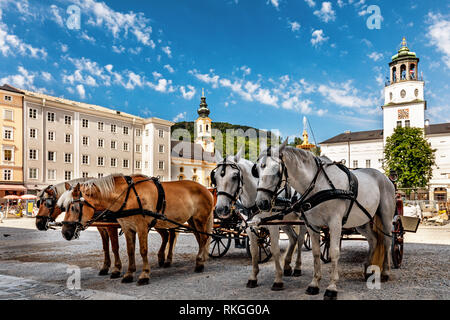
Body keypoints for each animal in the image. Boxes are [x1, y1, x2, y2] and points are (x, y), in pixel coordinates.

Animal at [60, 175, 214, 284]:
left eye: (74, 207)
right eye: (64, 207)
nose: (65, 232)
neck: (127, 196)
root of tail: (206, 189)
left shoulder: (141, 227)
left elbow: (142, 250)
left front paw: (144, 275)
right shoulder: (127, 227)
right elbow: (130, 250)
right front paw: (129, 274)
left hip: (200, 219)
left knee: (204, 238)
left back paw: (199, 263)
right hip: (191, 221)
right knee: (197, 238)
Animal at [214, 149, 306, 292]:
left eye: (235, 176)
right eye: (215, 177)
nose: (220, 209)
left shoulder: (272, 225)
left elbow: (274, 249)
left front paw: (278, 280)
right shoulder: (249, 227)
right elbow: (254, 251)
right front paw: (253, 277)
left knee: (301, 239)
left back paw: (297, 267)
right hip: (284, 222)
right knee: (293, 238)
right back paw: (287, 266)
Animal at [251, 140, 396, 300]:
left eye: (276, 170)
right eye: (257, 170)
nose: (261, 203)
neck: (318, 185)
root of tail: (384, 177)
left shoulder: (335, 223)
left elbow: (334, 252)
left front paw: (332, 287)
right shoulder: (312, 225)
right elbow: (315, 253)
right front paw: (314, 284)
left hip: (386, 217)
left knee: (387, 240)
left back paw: (386, 272)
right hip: (362, 221)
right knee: (374, 240)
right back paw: (367, 269)